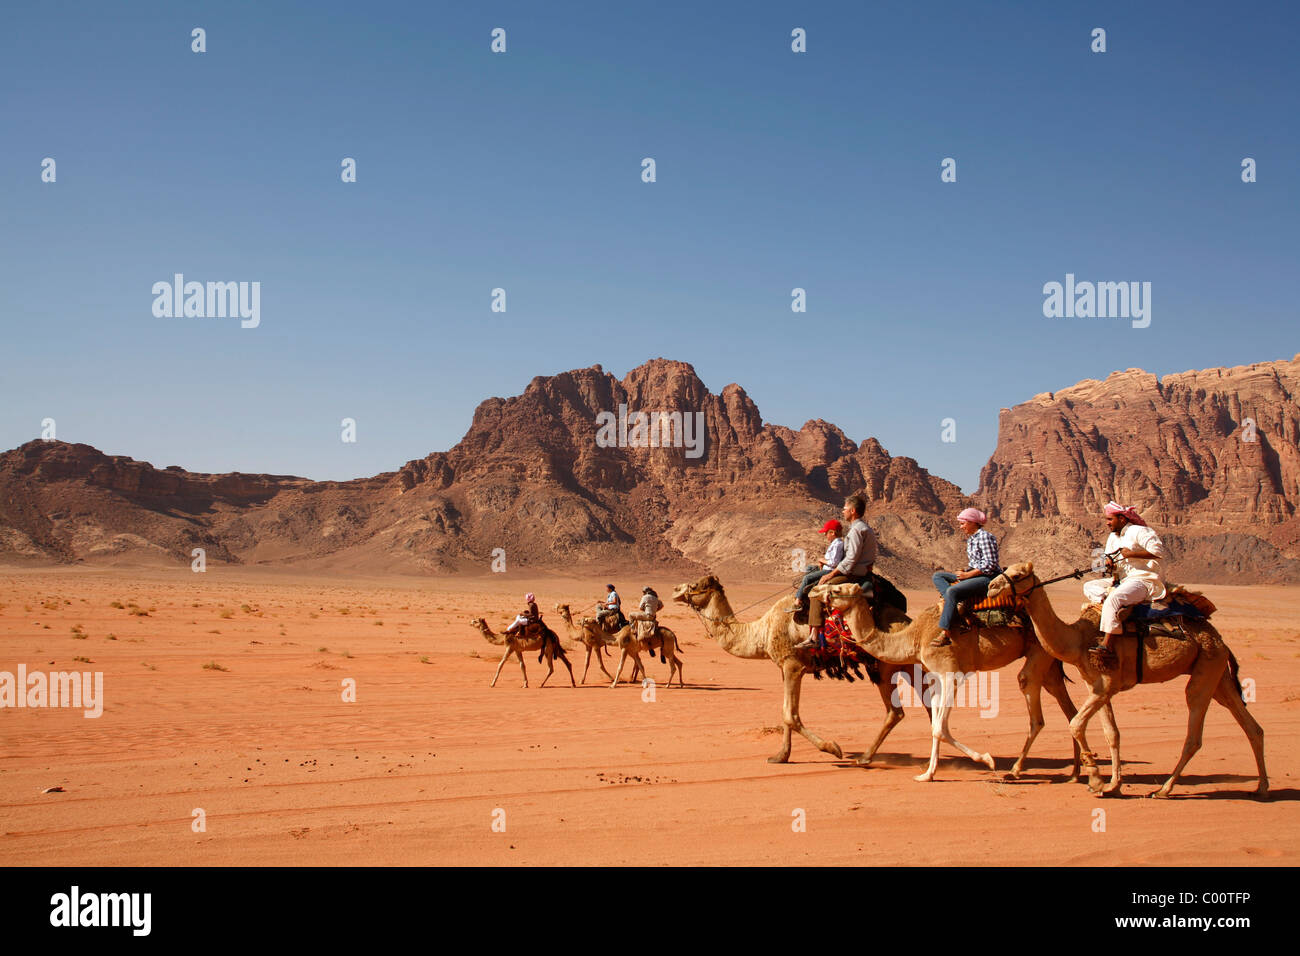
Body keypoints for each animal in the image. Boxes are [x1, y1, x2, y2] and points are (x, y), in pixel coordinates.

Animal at [670, 572, 925, 764]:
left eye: (694, 586)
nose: (674, 590)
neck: (763, 630)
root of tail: (908, 622)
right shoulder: (785, 668)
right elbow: (785, 713)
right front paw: (780, 756)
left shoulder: (792, 665)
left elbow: (790, 715)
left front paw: (833, 748)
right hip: (908, 666)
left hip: (883, 668)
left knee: (895, 711)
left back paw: (865, 758)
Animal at [816, 580, 1081, 780]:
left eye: (837, 589)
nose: (815, 592)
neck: (915, 636)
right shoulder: (935, 676)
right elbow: (935, 724)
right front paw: (928, 774)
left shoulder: (950, 673)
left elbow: (940, 728)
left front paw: (987, 760)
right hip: (1049, 661)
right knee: (1069, 710)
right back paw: (1077, 773)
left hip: (1038, 653)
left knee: (1035, 710)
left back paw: (1016, 770)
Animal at [987, 561, 1263, 801]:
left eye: (1017, 575)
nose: (990, 587)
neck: (1078, 640)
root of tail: (1221, 640)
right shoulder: (1097, 687)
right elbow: (1112, 733)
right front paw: (1113, 785)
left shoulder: (1105, 685)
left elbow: (1076, 724)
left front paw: (1096, 780)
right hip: (1218, 674)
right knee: (1250, 726)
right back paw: (1262, 789)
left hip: (1206, 667)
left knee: (1194, 729)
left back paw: (1164, 789)